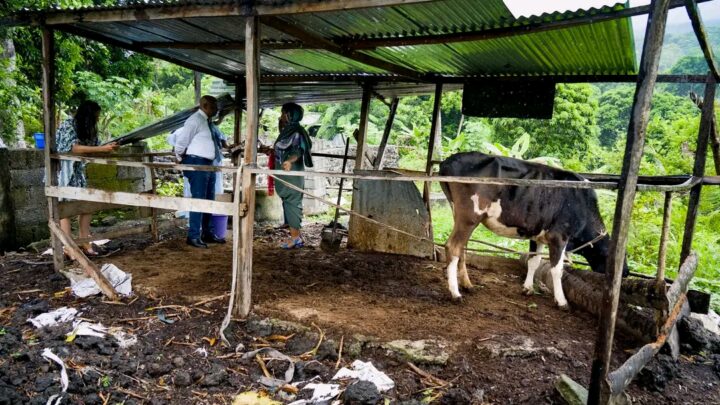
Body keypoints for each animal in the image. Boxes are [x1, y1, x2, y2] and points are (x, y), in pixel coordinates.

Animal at [436, 151, 628, 306]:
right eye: (615, 257)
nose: (626, 272)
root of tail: (448, 161)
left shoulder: (538, 235)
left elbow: (533, 261)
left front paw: (528, 288)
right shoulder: (559, 236)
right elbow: (557, 269)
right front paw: (561, 301)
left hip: (458, 212)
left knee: (462, 248)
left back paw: (467, 285)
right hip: (469, 216)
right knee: (453, 247)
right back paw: (456, 293)